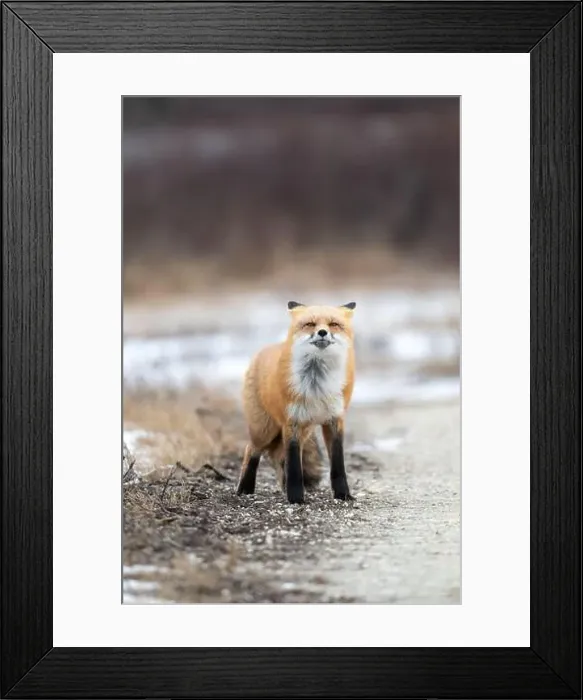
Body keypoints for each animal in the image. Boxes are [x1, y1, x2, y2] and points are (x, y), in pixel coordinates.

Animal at [236, 300, 357, 504]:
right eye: (310, 324)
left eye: (333, 324)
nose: (322, 332)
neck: (317, 385)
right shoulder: (291, 422)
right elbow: (293, 465)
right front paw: (295, 498)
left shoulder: (334, 419)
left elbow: (337, 464)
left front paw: (343, 494)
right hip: (265, 430)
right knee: (250, 449)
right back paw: (245, 488)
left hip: (305, 430)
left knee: (280, 457)